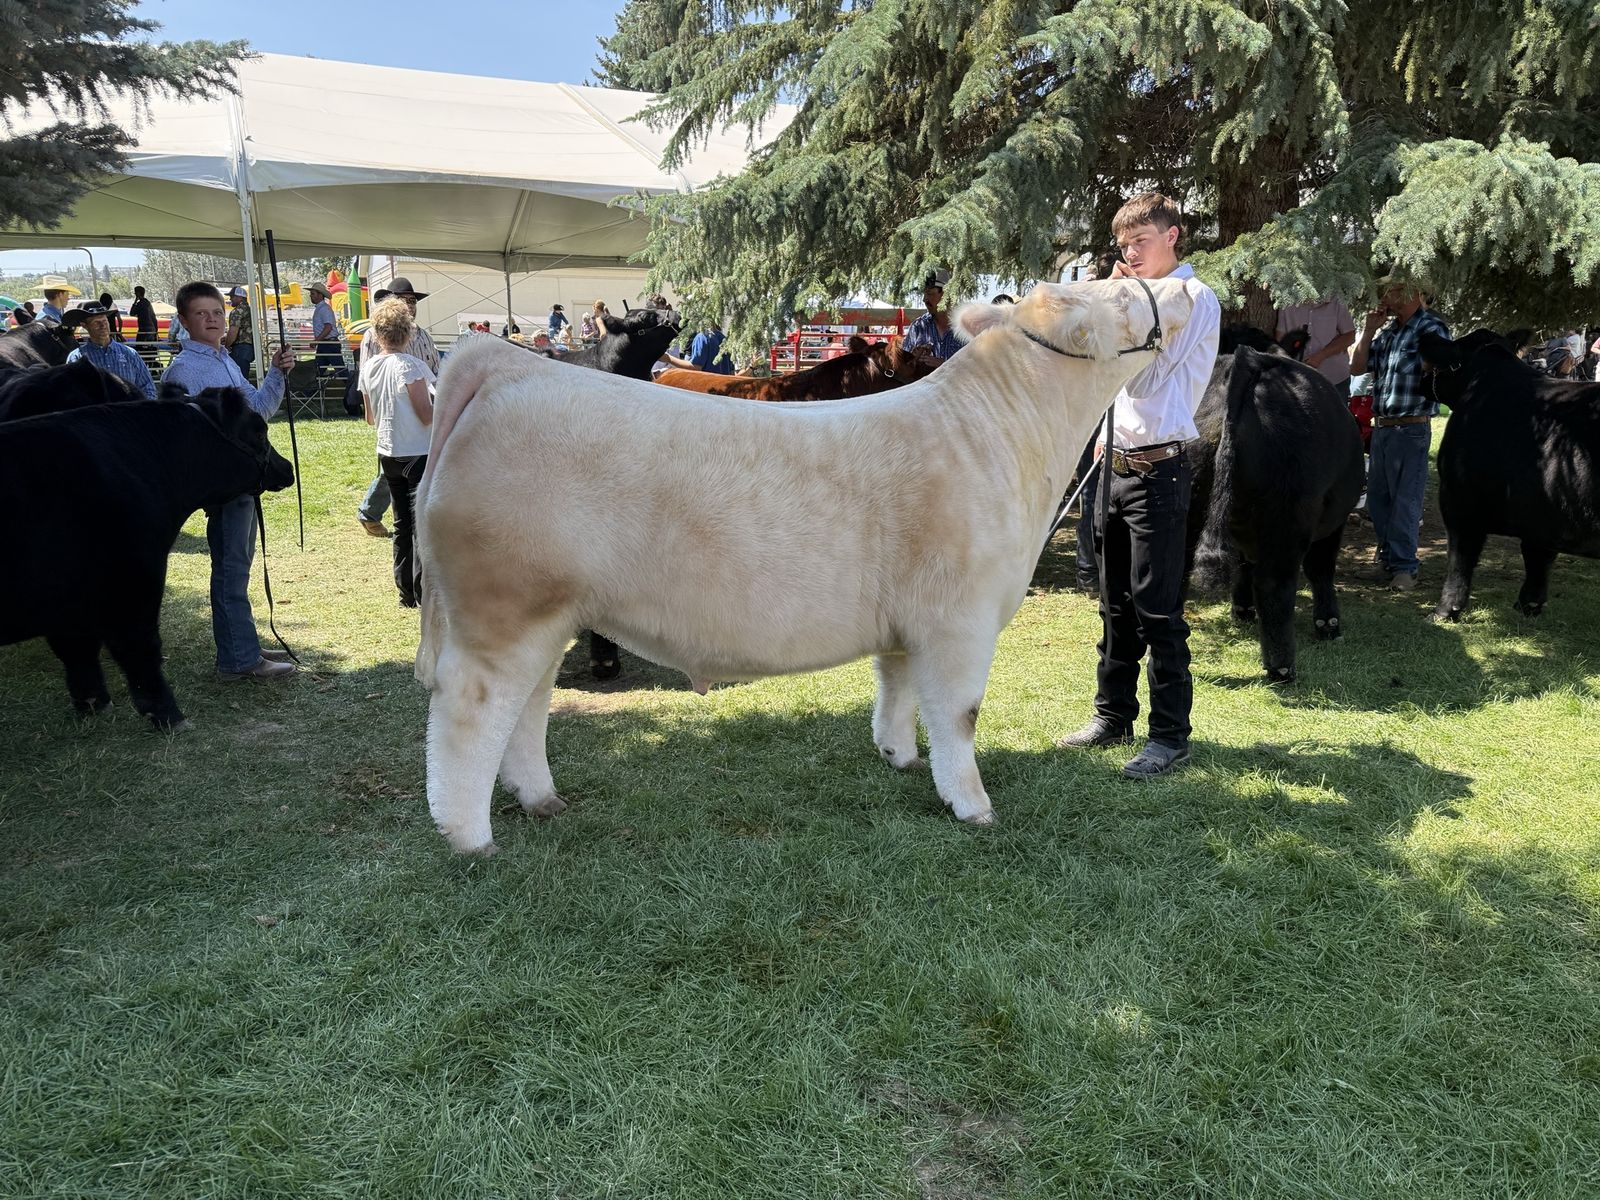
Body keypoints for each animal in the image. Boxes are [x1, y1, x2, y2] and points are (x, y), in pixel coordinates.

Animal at [0, 388, 295, 730]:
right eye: (259, 432)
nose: (288, 467)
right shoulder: (135, 582)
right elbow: (140, 648)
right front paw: (168, 714)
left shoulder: (67, 603)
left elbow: (78, 651)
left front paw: (93, 704)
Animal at [411, 277, 1195, 854]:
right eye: (1123, 294)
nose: (1186, 285)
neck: (1000, 434)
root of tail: (506, 366)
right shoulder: (962, 618)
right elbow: (960, 714)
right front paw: (972, 805)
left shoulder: (910, 624)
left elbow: (896, 689)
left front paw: (900, 758)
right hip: (502, 610)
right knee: (469, 713)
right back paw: (468, 836)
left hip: (549, 616)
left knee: (527, 708)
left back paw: (540, 798)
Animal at [1187, 347, 1365, 682]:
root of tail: (1249, 358)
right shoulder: (1333, 520)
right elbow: (1321, 568)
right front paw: (1328, 624)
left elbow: (1243, 563)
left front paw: (1242, 610)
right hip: (1288, 516)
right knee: (1274, 583)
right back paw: (1282, 667)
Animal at [1419, 329, 1600, 621]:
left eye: (1459, 343)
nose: (1426, 333)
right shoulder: (1545, 514)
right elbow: (1538, 559)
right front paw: (1529, 606)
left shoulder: (1459, 501)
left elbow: (1460, 560)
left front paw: (1443, 612)